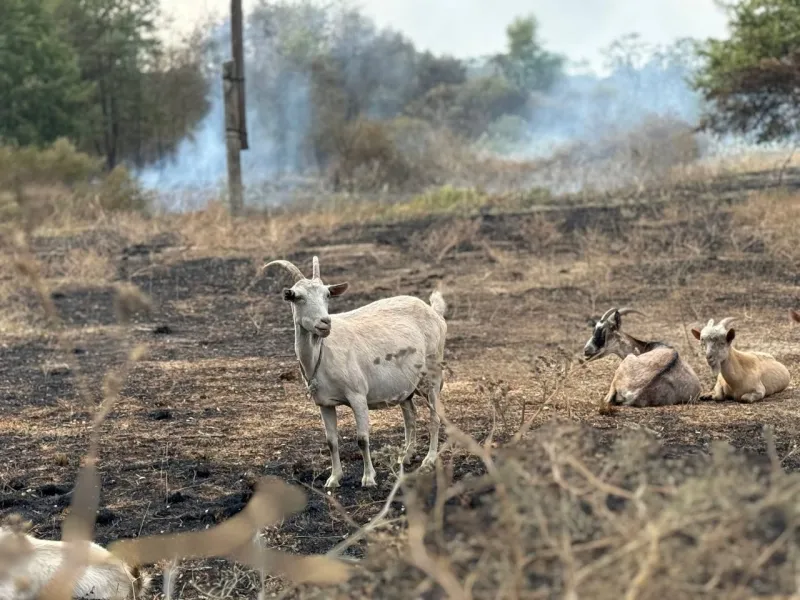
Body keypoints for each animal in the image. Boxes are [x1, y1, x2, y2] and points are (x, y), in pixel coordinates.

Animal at [266, 254, 446, 488]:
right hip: (405, 385)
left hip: (432, 375)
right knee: (410, 415)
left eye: (327, 295)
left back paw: (428, 460)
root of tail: (434, 312)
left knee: (434, 416)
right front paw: (334, 478)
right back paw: (405, 456)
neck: (322, 352)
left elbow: (362, 439)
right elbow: (331, 441)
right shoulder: (324, 403)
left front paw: (368, 478)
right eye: (297, 297)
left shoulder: (358, 395)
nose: (325, 322)